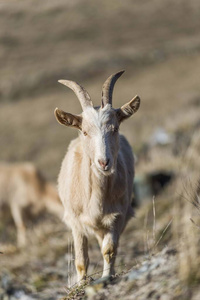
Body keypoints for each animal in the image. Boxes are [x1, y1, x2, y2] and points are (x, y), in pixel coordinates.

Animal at [54, 71, 140, 284]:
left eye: (115, 128)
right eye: (85, 131)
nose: (104, 162)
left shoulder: (118, 216)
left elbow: (109, 250)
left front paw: (107, 276)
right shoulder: (75, 221)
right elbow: (81, 260)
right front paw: (81, 284)